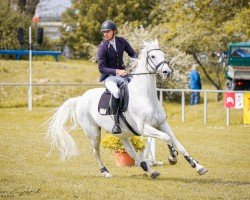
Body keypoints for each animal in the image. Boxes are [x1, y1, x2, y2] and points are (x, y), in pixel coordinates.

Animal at [46, 39, 207, 179]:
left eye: (163, 55)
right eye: (153, 56)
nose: (167, 72)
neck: (145, 96)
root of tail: (81, 98)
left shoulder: (162, 124)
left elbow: (176, 142)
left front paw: (197, 166)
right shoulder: (144, 128)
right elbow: (167, 138)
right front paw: (172, 157)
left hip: (122, 134)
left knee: (131, 152)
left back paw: (150, 170)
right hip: (93, 133)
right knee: (95, 151)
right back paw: (106, 172)